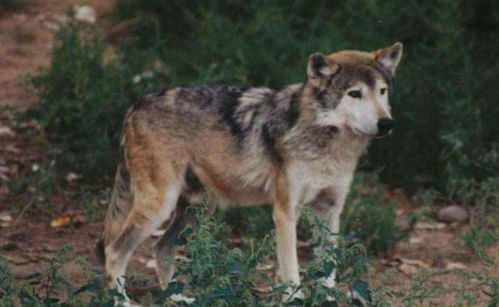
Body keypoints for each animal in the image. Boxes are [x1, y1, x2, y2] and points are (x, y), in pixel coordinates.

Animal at [100, 42, 402, 304]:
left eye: (382, 91)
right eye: (355, 93)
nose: (386, 123)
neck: (327, 143)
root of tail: (133, 107)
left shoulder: (330, 210)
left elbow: (328, 272)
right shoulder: (285, 212)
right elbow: (291, 273)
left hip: (198, 210)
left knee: (161, 249)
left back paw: (176, 299)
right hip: (160, 207)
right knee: (113, 251)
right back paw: (124, 302)